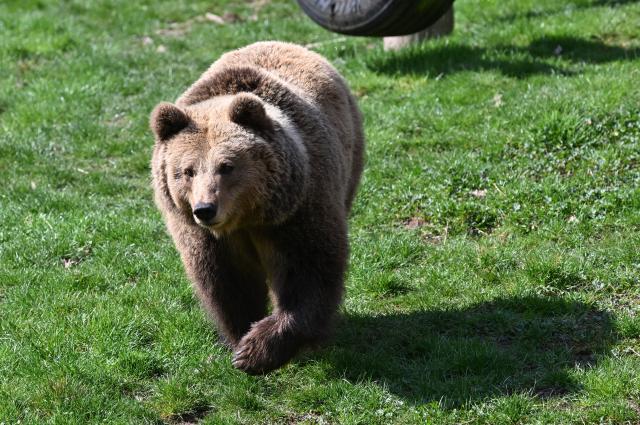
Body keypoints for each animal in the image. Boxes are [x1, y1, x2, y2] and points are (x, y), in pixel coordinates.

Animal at [149, 41, 365, 374]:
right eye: (187, 171)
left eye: (226, 166)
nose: (205, 209)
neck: (245, 219)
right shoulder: (207, 239)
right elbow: (228, 284)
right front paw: (239, 337)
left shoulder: (297, 212)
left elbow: (308, 273)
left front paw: (257, 350)